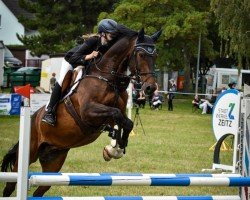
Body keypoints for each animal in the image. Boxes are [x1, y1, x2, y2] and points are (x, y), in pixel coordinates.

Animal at [1, 25, 162, 197]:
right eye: (141, 54)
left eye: (155, 55)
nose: (150, 88)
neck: (107, 78)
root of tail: (33, 119)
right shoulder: (88, 112)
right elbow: (117, 115)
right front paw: (114, 147)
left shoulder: (113, 113)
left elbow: (126, 122)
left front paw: (115, 147)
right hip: (29, 153)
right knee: (10, 184)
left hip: (53, 161)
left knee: (40, 190)